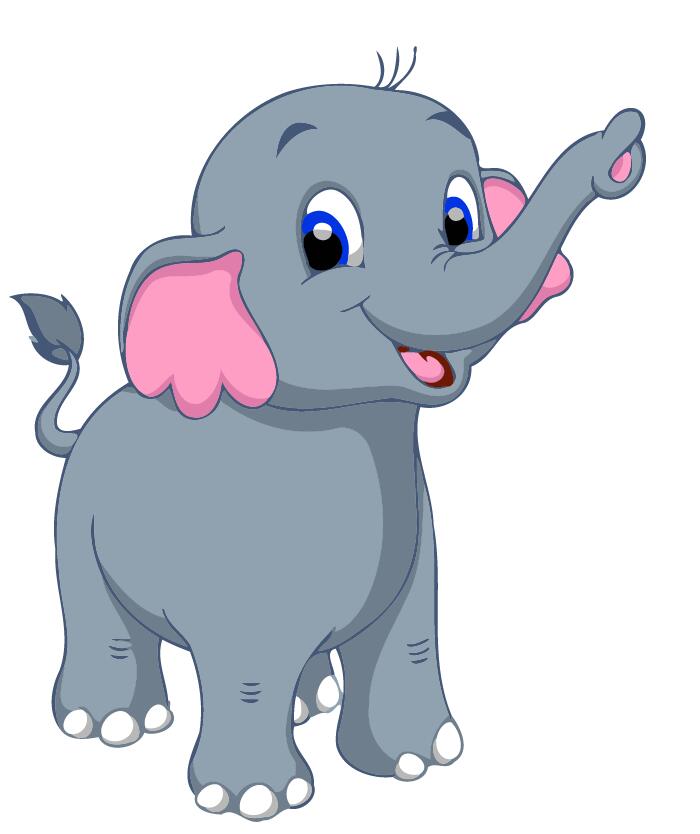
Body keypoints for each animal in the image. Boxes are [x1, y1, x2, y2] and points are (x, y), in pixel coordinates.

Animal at [13, 55, 645, 821]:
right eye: (324, 241)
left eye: (460, 218)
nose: (622, 140)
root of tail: (89, 422)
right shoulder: (235, 570)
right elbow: (248, 666)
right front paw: (257, 800)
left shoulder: (416, 547)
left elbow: (409, 634)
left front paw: (417, 761)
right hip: (75, 523)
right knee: (99, 618)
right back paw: (109, 724)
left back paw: (309, 701)